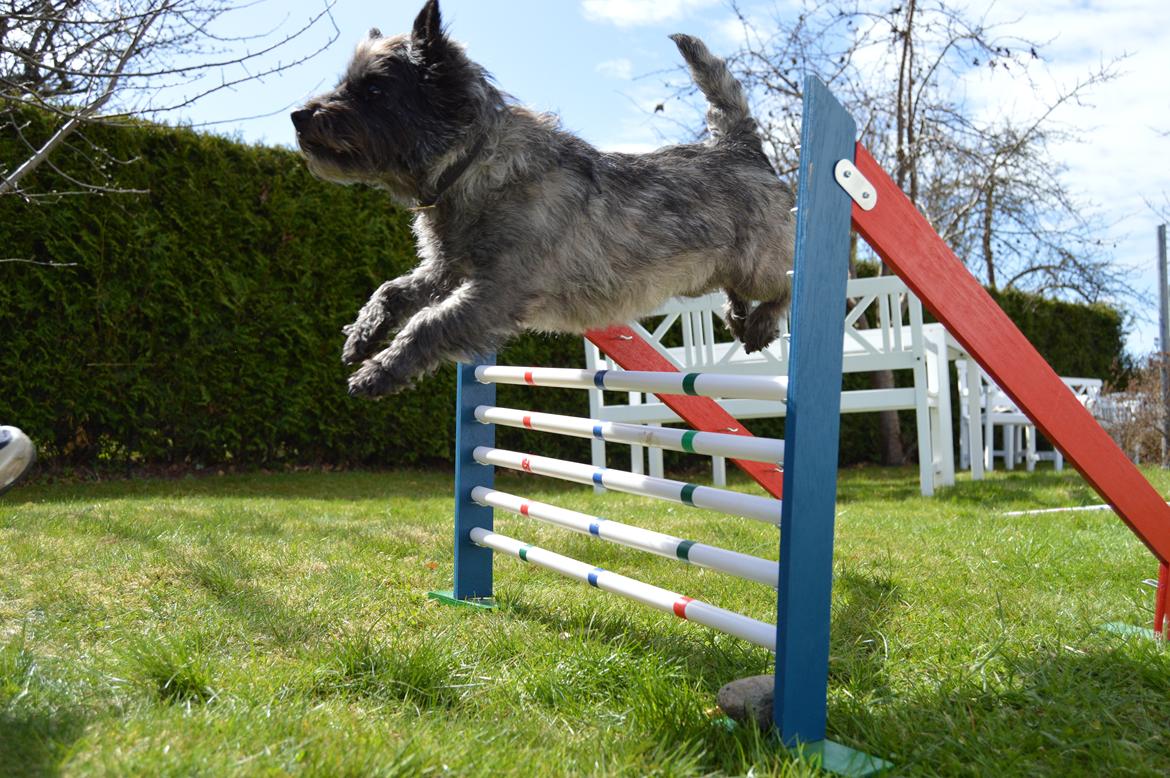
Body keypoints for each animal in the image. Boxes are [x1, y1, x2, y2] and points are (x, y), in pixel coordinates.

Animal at [292, 0, 795, 397]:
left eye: (375, 89)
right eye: (345, 82)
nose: (299, 115)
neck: (474, 163)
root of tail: (739, 146)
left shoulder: (495, 290)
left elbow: (429, 323)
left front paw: (379, 371)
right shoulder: (444, 269)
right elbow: (392, 290)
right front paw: (362, 335)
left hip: (758, 265)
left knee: (785, 285)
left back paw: (760, 323)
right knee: (733, 287)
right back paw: (736, 315)